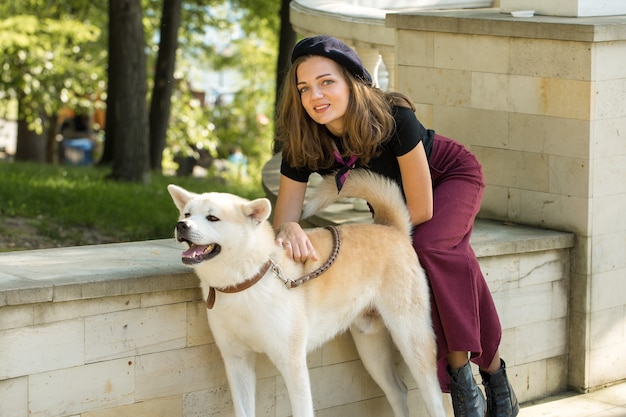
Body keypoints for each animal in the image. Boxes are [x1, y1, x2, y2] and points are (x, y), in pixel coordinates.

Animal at [167, 170, 444, 416]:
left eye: (212, 218)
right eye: (187, 213)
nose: (181, 224)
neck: (246, 282)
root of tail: (392, 229)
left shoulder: (292, 362)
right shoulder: (237, 361)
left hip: (411, 340)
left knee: (433, 396)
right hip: (371, 348)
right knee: (398, 391)